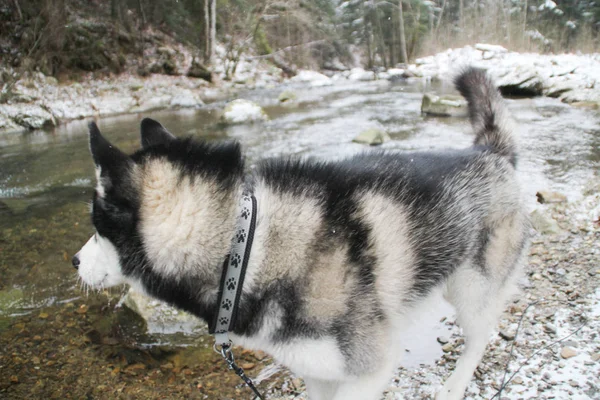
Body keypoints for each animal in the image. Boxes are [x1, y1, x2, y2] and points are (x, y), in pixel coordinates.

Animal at [72, 69, 528, 400]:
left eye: (96, 226)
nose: (73, 261)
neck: (246, 247)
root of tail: (490, 151)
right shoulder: (318, 369)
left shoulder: (369, 368)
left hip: (472, 291)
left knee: (478, 338)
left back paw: (455, 384)